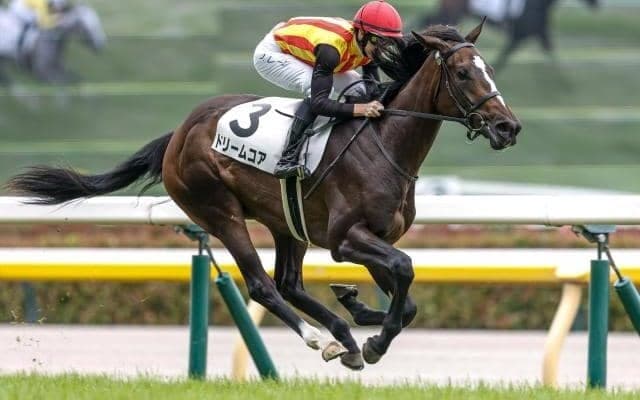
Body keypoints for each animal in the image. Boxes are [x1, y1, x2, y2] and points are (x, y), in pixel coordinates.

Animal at [7, 21, 521, 370]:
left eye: (491, 69)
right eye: (462, 73)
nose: (507, 127)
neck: (385, 143)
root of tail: (179, 133)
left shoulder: (375, 237)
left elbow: (406, 294)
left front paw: (358, 312)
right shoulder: (346, 239)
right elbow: (405, 269)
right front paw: (373, 340)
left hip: (285, 221)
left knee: (289, 282)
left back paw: (342, 336)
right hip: (219, 211)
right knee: (262, 284)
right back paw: (322, 339)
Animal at [417, 0, 599, 72]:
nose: (596, 4)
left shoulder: (538, 33)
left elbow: (550, 51)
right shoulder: (519, 35)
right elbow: (505, 56)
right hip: (453, 13)